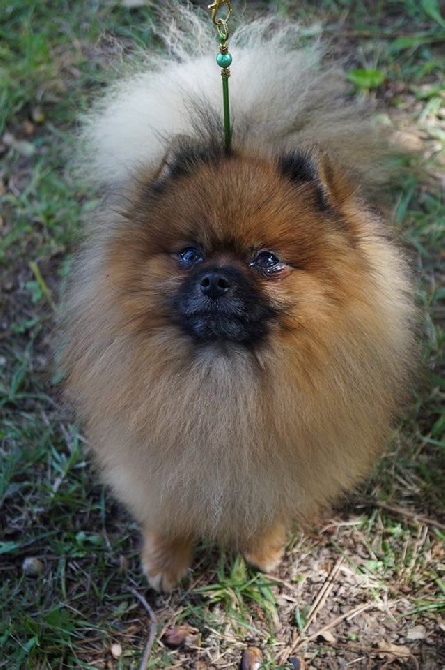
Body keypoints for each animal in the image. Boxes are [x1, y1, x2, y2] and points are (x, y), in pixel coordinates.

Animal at [62, 6, 416, 592]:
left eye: (267, 260)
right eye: (189, 254)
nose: (216, 280)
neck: (224, 381)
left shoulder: (279, 464)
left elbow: (266, 503)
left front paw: (263, 547)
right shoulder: (155, 464)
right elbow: (167, 511)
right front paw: (165, 561)